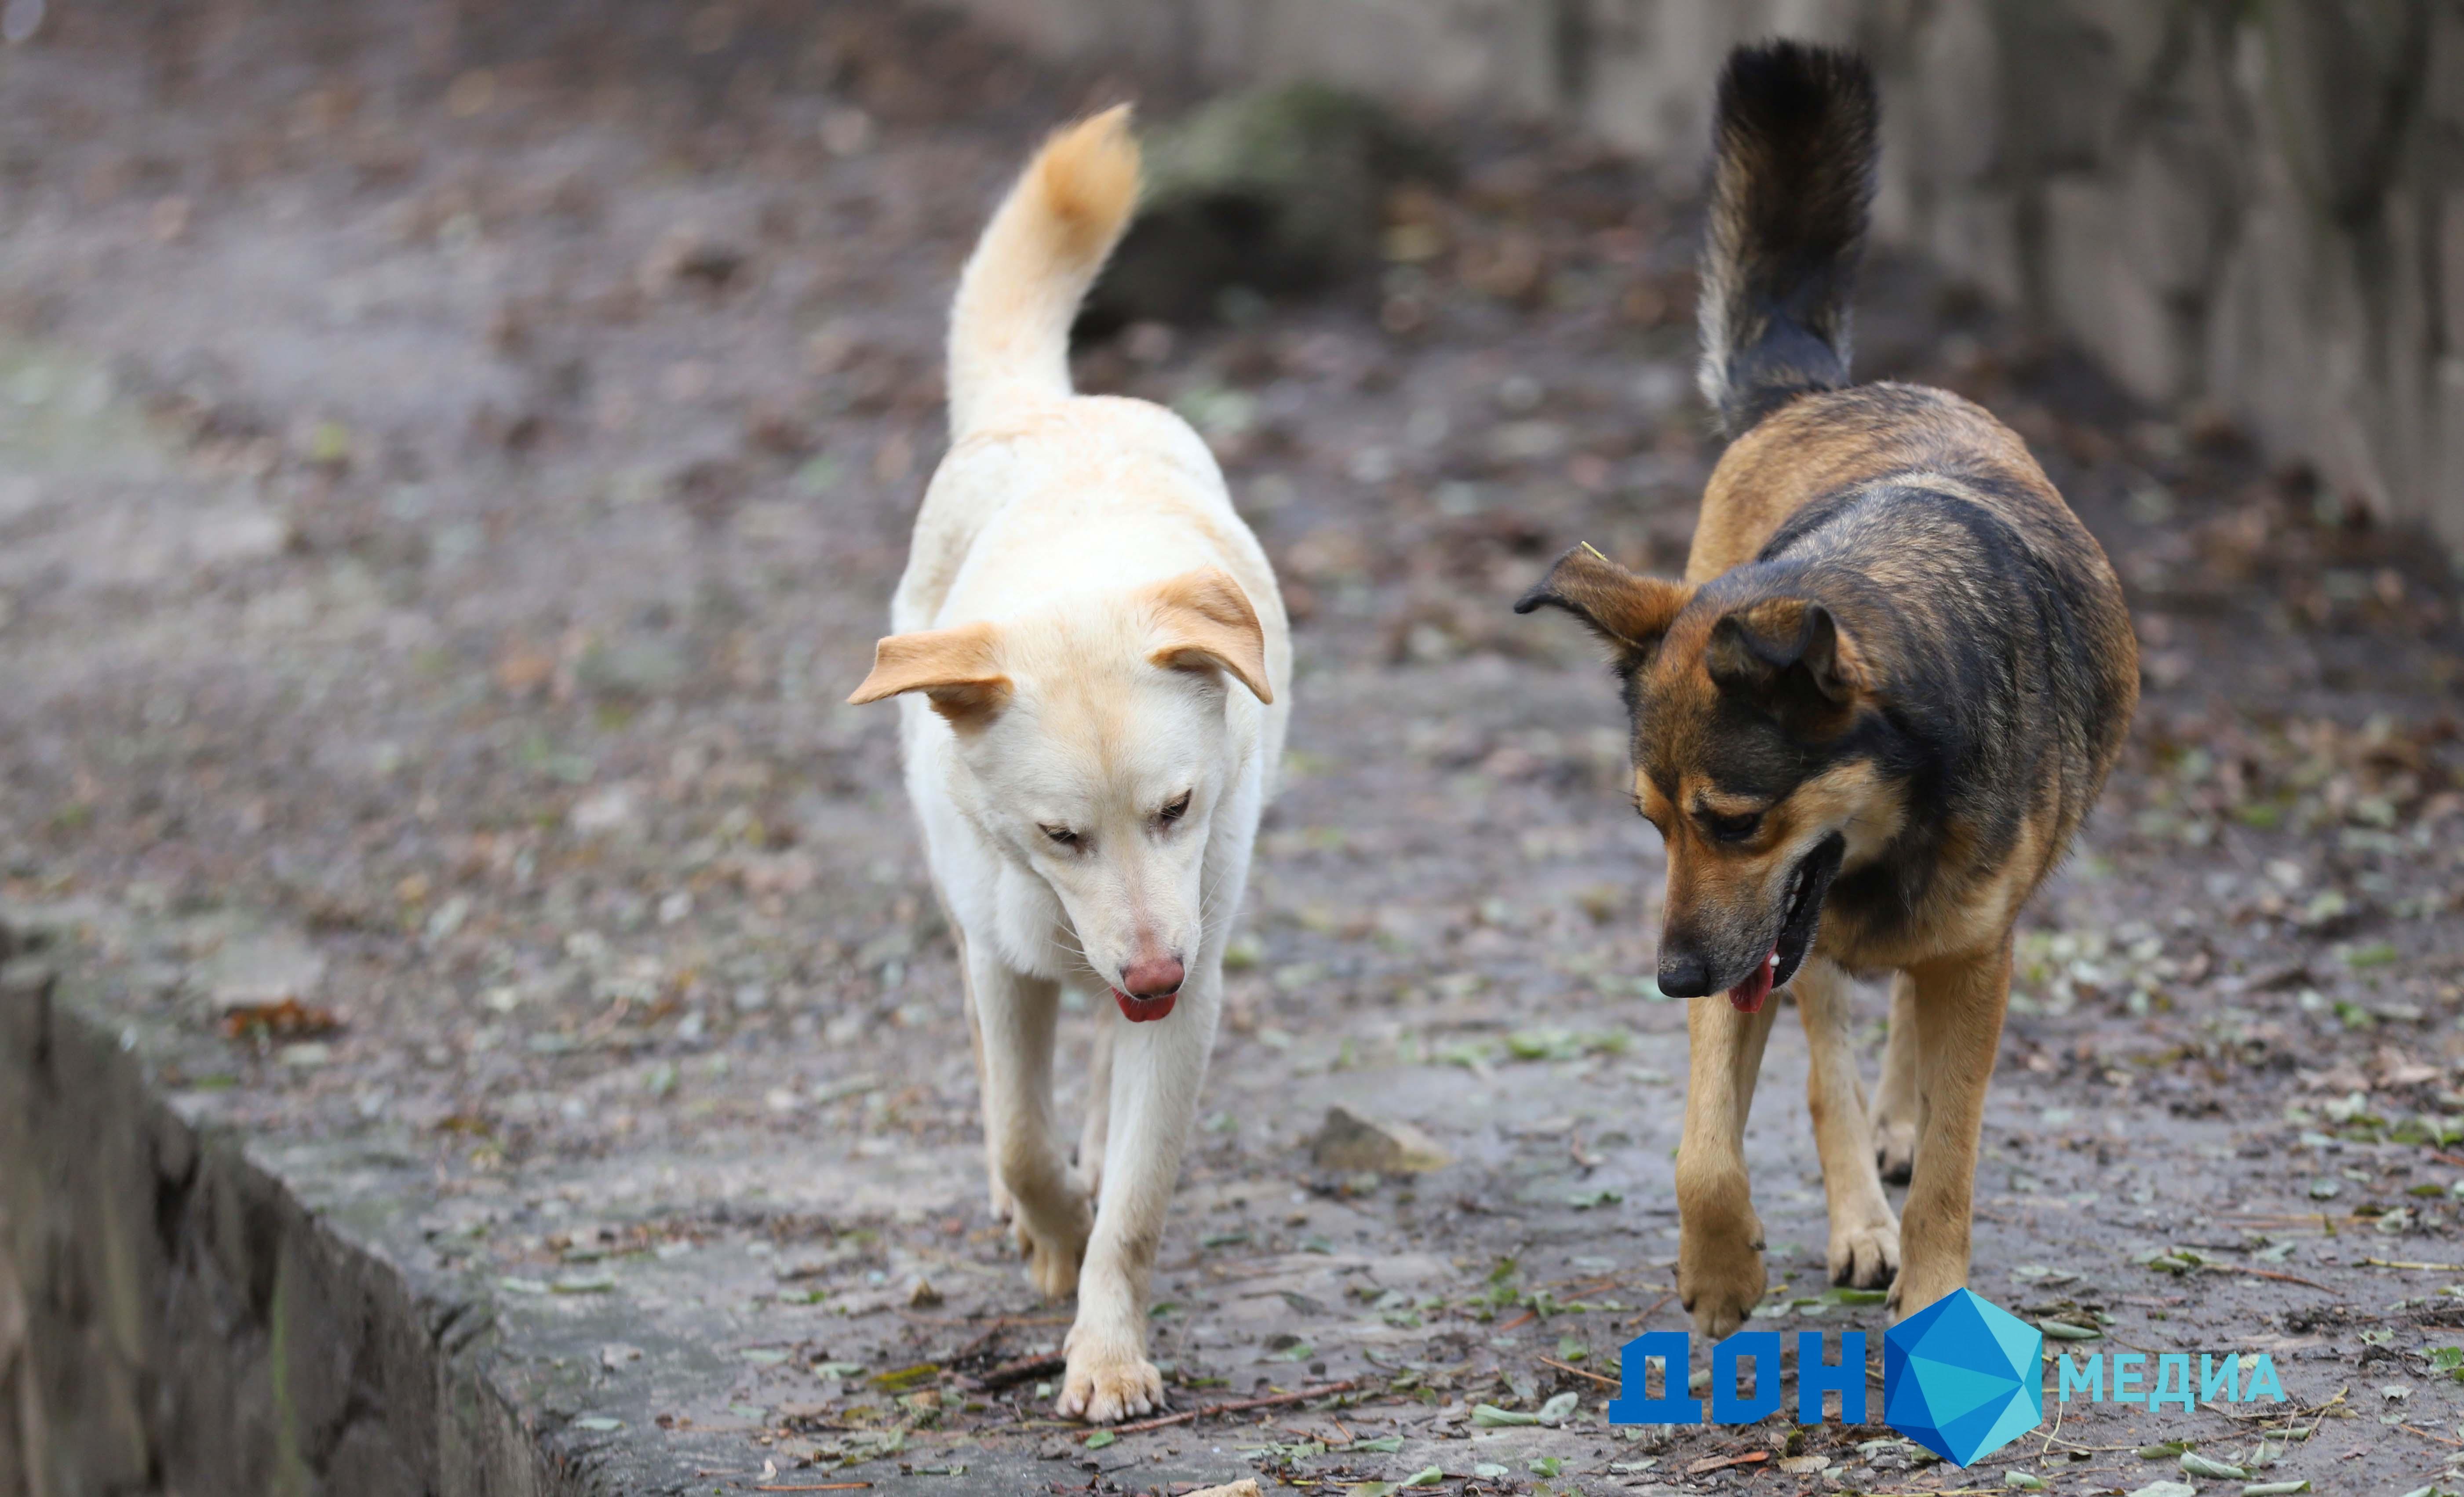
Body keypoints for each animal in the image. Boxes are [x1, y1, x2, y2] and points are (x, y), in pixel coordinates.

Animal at [852, 111, 1291, 1418]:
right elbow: (1014, 1129)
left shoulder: (1189, 979)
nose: (1148, 972)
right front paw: (1046, 1232)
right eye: (1058, 835)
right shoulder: (1008, 954)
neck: (1081, 572)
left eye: (1177, 806)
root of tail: (1054, 404)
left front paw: (1106, 1351)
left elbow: (1135, 1202)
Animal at [1508, 44, 2129, 1329]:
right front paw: (1720, 1265)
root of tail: (1816, 393)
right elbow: (1709, 1139)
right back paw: (1854, 1209)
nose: (1668, 977)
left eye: (1733, 819)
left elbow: (1952, 1154)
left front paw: (1934, 1291)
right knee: (1825, 1043)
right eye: (1649, 824)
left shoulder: (1963, 947)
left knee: (1900, 1028)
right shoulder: (1745, 938)